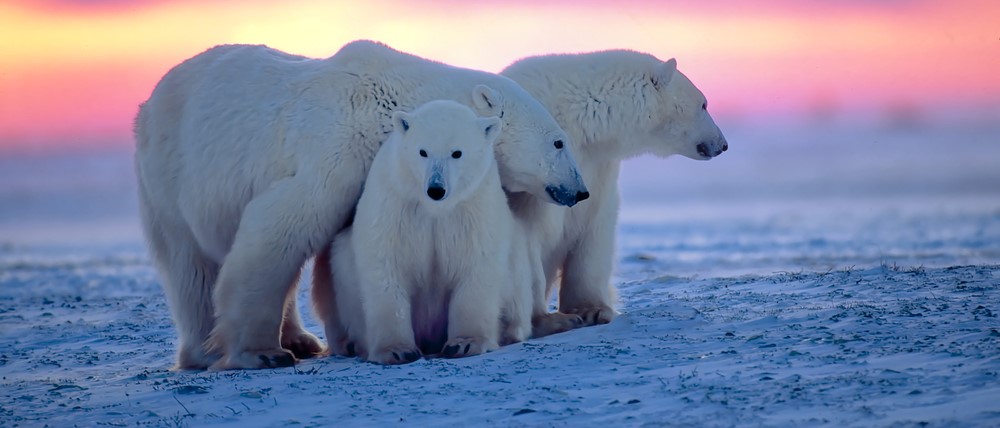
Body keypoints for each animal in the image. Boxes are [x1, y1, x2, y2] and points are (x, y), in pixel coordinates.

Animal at [313, 100, 534, 364]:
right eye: (423, 151)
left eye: (456, 152)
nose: (436, 189)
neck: (434, 208)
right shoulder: (394, 204)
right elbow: (386, 265)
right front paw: (397, 350)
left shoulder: (473, 207)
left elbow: (475, 264)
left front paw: (465, 344)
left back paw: (511, 330)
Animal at [500, 50, 728, 325]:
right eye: (704, 104)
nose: (723, 144)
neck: (582, 120)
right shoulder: (533, 168)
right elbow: (527, 233)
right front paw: (551, 320)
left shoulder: (597, 166)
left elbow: (594, 226)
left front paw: (592, 310)